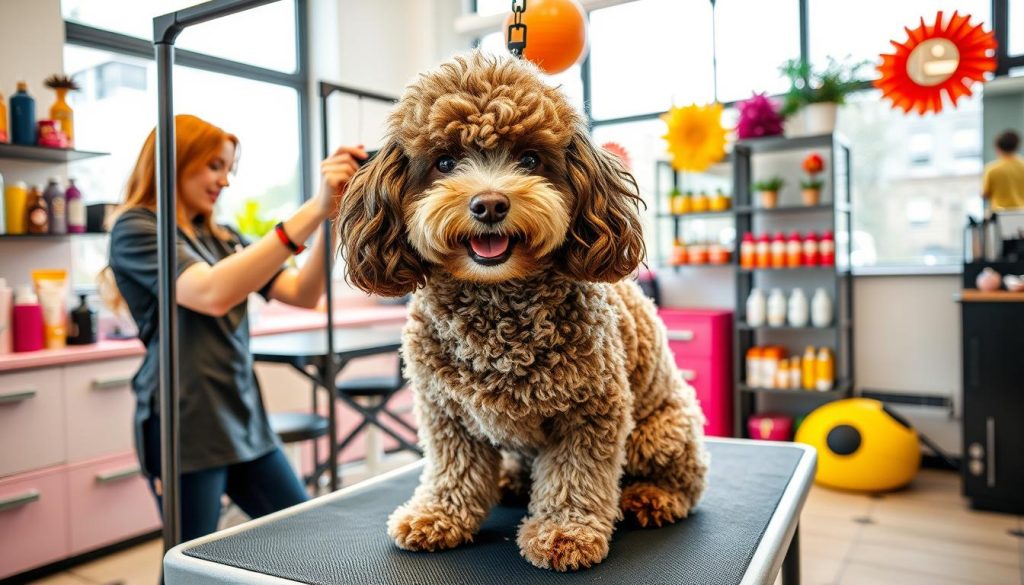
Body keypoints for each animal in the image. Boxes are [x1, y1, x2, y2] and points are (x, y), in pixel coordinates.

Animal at [339, 52, 708, 573]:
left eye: (530, 159)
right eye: (445, 162)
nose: (490, 204)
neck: (496, 302)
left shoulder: (591, 410)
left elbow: (576, 475)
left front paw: (565, 532)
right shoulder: (445, 413)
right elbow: (453, 469)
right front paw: (438, 515)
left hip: (660, 433)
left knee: (684, 480)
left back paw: (650, 497)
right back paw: (511, 480)